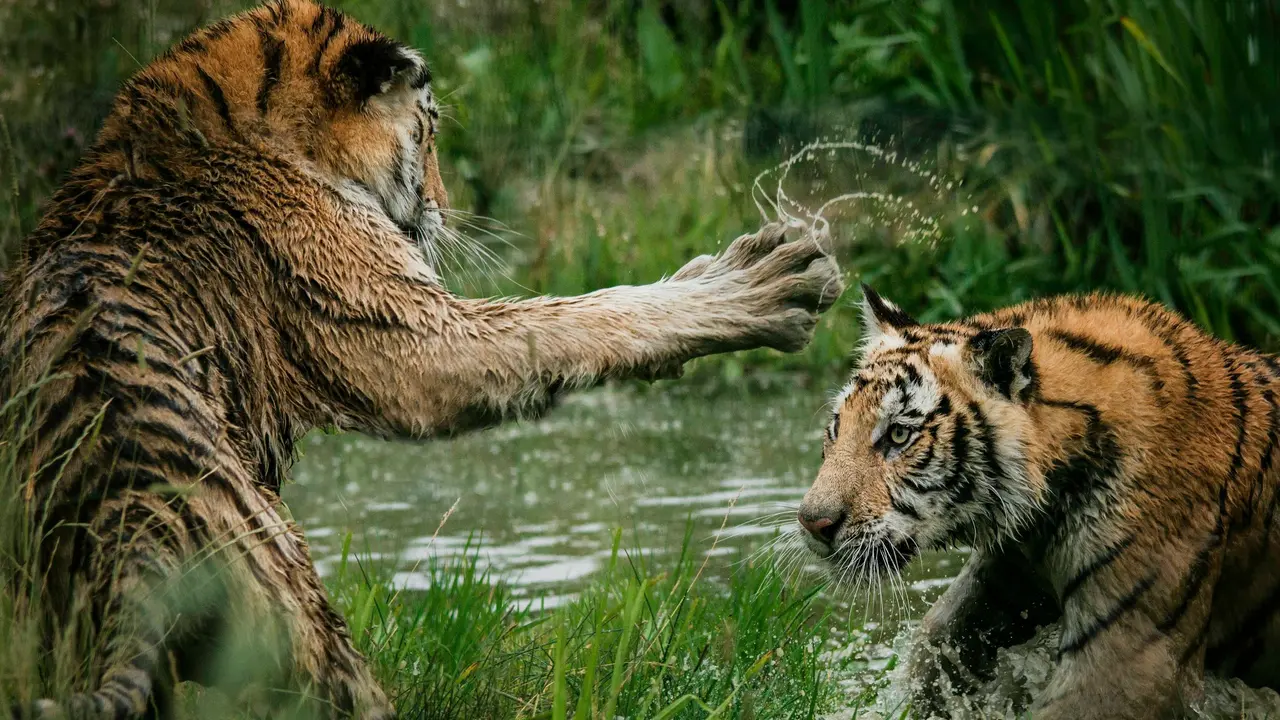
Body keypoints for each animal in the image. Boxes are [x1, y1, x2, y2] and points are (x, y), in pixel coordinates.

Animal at [0, 1, 844, 717]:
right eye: (431, 133)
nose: (444, 208)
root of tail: (132, 531)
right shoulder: (414, 335)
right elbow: (578, 317)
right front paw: (764, 282)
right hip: (309, 632)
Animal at [797, 285, 1280, 719]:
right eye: (837, 427)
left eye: (899, 434)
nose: (812, 523)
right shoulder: (1007, 575)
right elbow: (933, 648)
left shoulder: (1129, 660)